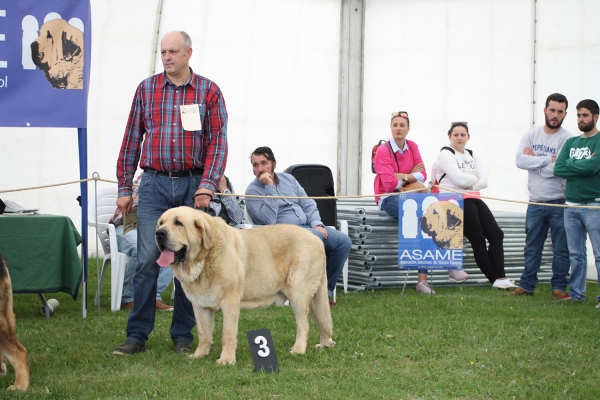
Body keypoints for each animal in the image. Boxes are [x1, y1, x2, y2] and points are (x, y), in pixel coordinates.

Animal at [155, 206, 336, 366]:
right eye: (161, 223)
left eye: (178, 223)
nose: (159, 233)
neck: (204, 259)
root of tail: (317, 239)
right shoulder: (200, 306)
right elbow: (203, 333)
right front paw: (199, 355)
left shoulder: (230, 303)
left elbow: (227, 334)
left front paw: (226, 360)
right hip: (311, 300)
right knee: (322, 321)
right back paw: (324, 344)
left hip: (298, 295)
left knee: (304, 325)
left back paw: (298, 350)